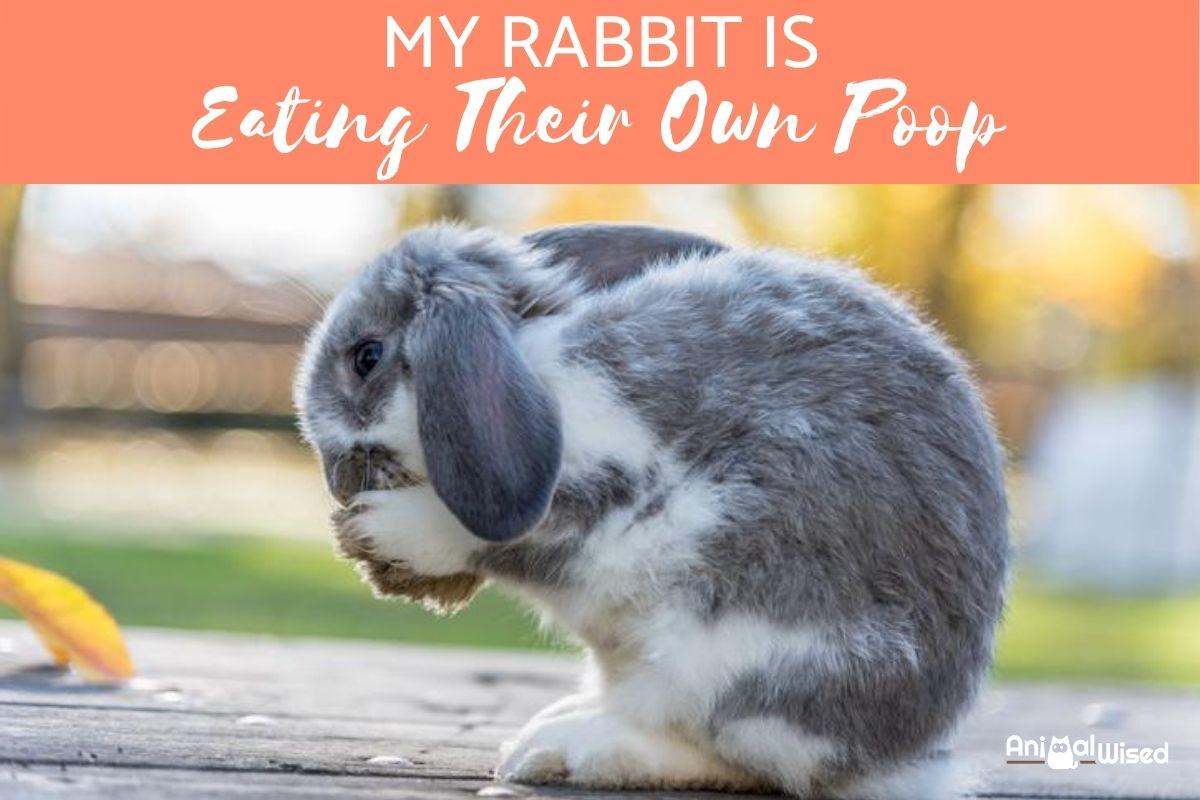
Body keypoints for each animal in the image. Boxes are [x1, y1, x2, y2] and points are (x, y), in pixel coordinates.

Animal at [295, 222, 1010, 799]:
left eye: (366, 357)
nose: (336, 479)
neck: (534, 367)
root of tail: (901, 758)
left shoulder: (613, 485)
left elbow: (506, 536)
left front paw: (383, 528)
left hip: (726, 651)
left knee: (739, 753)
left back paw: (573, 750)